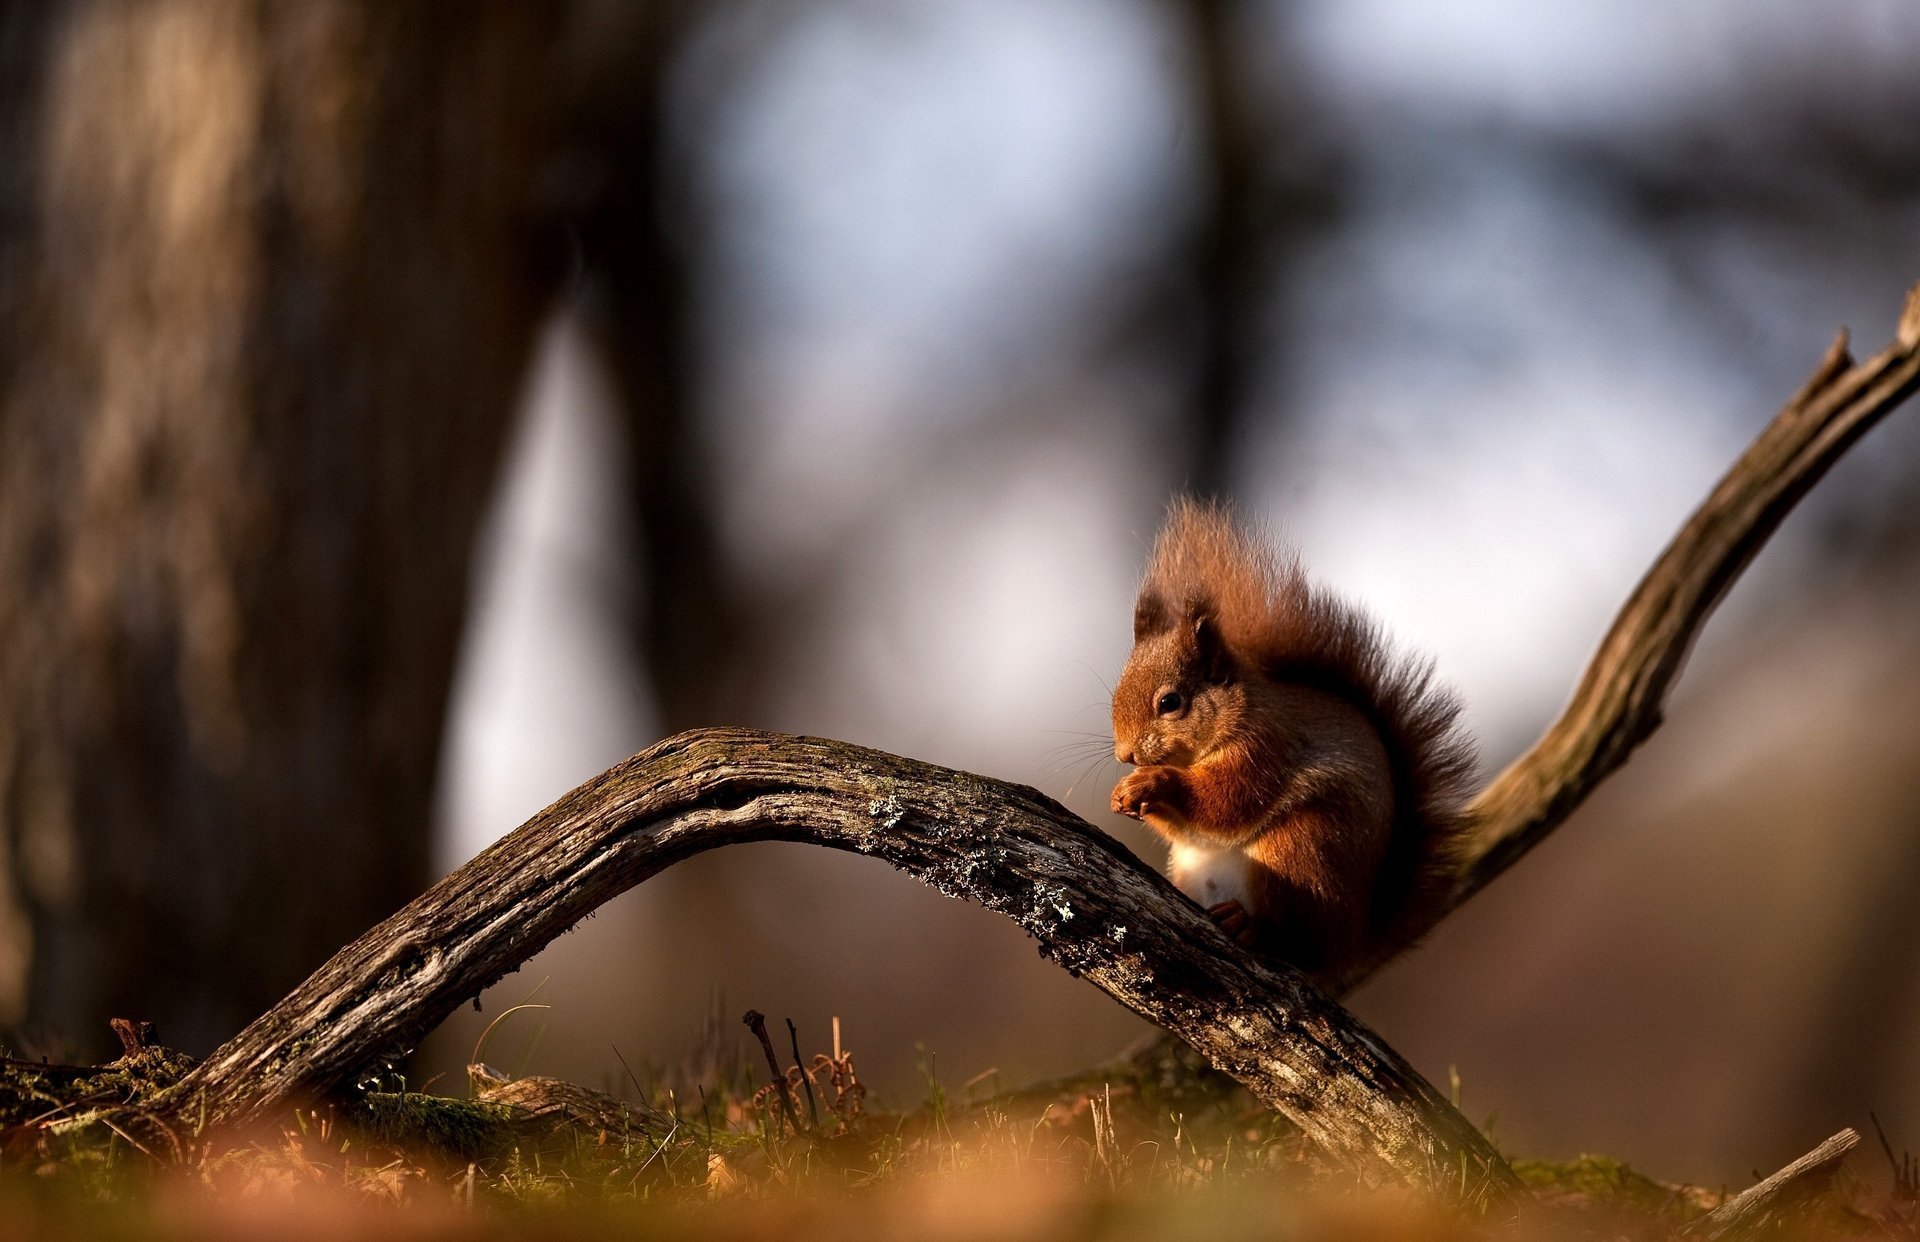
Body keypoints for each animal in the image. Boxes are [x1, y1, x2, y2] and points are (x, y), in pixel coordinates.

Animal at [1108, 497, 1475, 980]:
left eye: (1170, 702)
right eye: (1116, 691)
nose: (1126, 754)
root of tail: (1349, 945)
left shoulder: (1265, 748)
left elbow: (1224, 802)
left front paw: (1154, 782)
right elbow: (1186, 826)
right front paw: (1123, 795)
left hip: (1302, 851)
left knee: (1296, 941)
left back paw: (1251, 927)